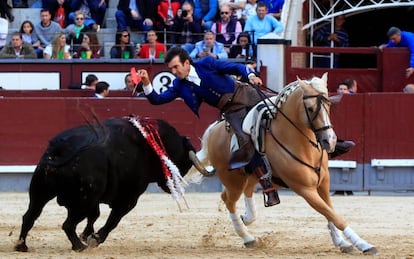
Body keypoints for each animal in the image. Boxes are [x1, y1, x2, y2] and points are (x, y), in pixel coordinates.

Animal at [14, 117, 209, 253]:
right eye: (182, 162)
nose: (172, 185)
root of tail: (62, 148)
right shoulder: (128, 199)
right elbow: (113, 220)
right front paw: (94, 238)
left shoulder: (97, 199)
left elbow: (95, 215)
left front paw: (87, 234)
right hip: (81, 202)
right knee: (67, 224)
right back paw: (79, 247)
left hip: (41, 192)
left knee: (29, 216)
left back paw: (22, 245)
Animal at [186, 73, 380, 256]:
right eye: (310, 108)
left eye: (329, 106)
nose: (330, 141)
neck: (300, 143)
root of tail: (214, 129)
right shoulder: (305, 189)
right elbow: (333, 215)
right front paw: (365, 245)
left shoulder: (323, 183)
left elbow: (329, 212)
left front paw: (342, 242)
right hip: (233, 180)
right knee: (228, 199)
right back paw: (247, 236)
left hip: (252, 175)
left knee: (247, 191)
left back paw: (248, 217)